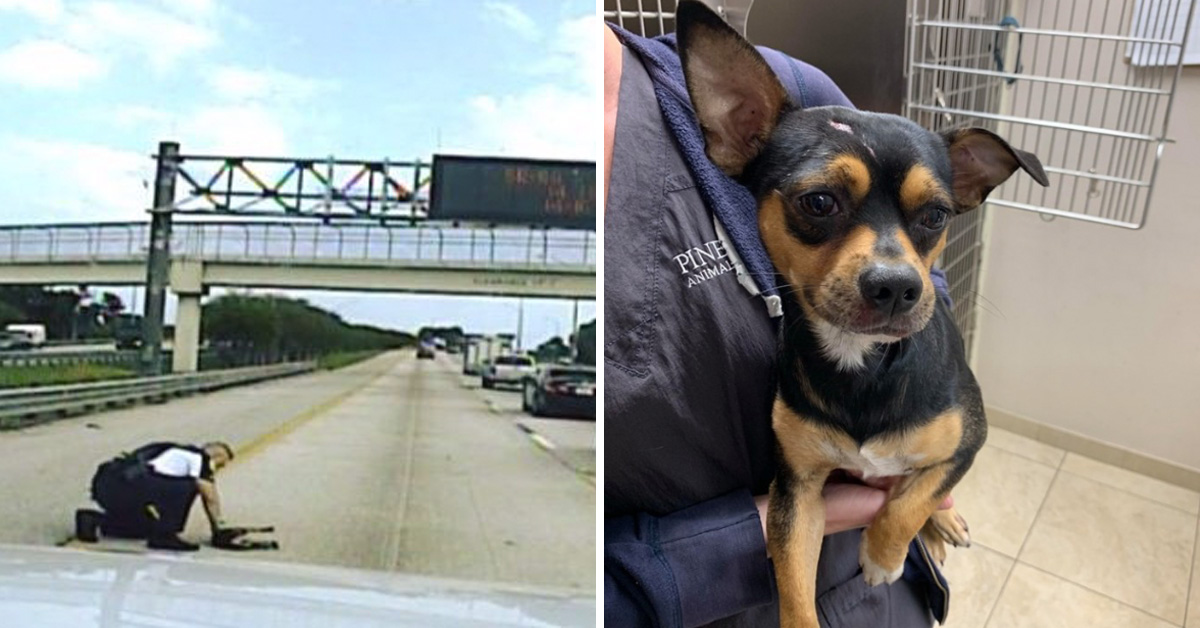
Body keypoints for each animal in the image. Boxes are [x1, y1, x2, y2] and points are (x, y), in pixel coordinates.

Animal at [676, 2, 1051, 624]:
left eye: (936, 215)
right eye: (818, 202)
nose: (897, 287)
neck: (864, 362)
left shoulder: (967, 441)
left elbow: (912, 499)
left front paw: (883, 553)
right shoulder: (798, 491)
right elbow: (795, 587)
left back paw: (944, 523)